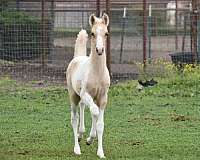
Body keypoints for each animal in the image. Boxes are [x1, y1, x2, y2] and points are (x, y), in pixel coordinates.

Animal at [67, 13, 110, 158]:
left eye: (106, 33)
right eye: (92, 33)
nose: (99, 50)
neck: (97, 72)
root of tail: (77, 58)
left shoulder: (103, 98)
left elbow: (100, 123)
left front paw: (100, 151)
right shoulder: (85, 93)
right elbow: (95, 112)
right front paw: (89, 138)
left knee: (83, 107)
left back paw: (82, 134)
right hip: (73, 95)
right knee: (74, 118)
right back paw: (77, 148)